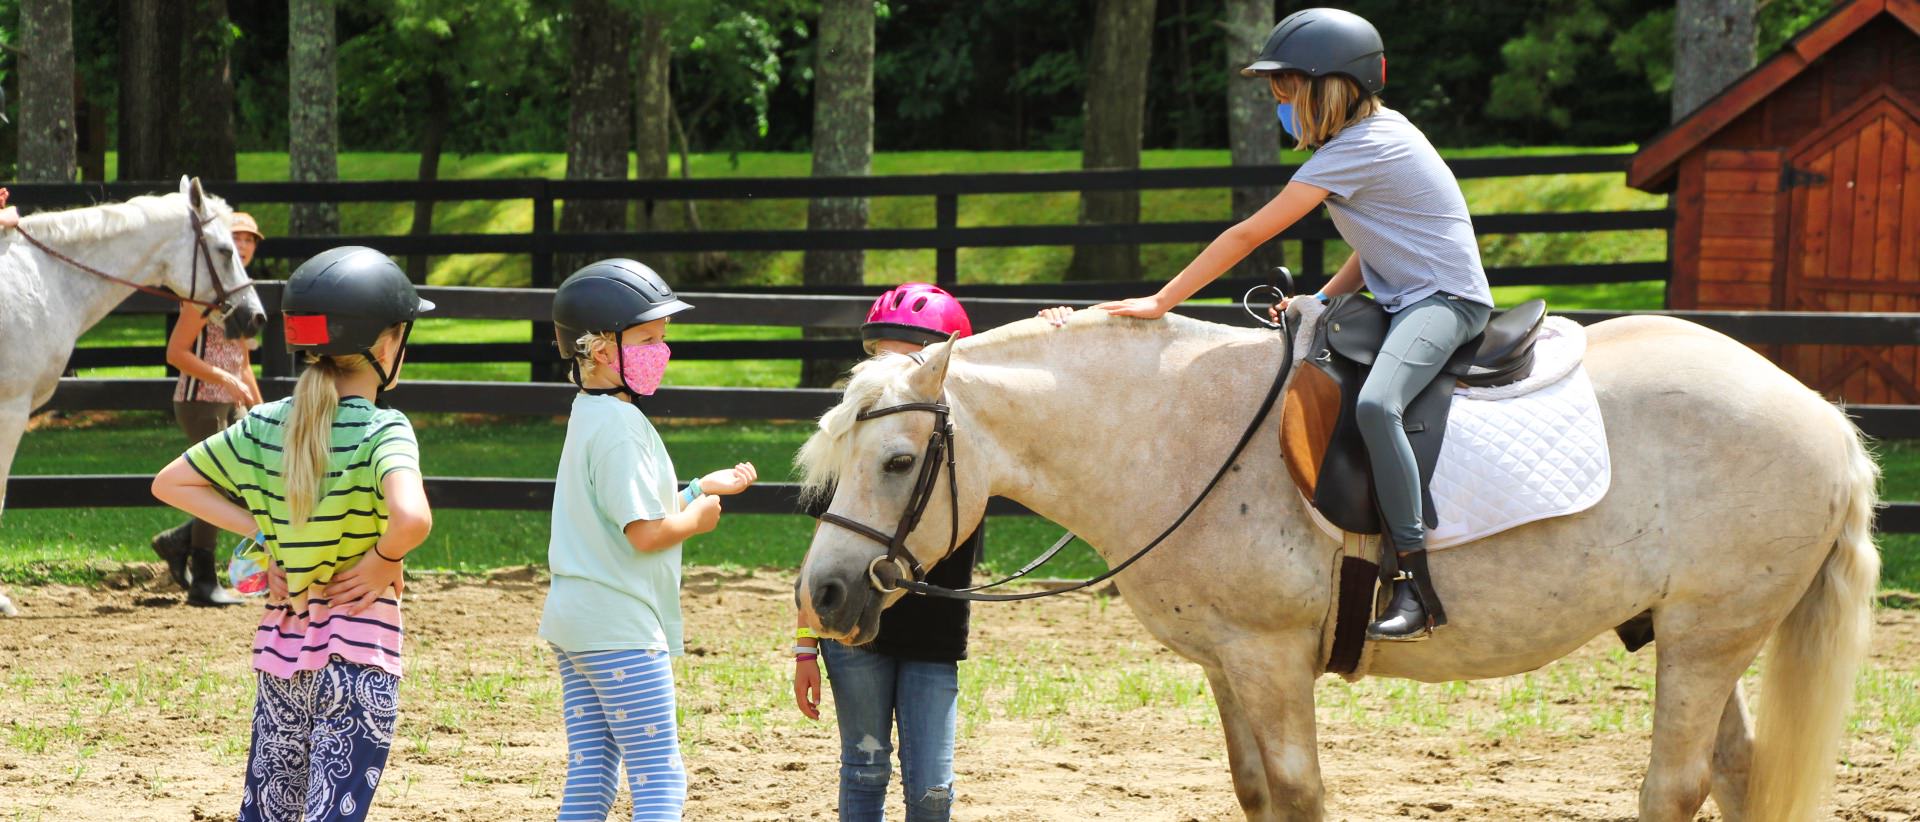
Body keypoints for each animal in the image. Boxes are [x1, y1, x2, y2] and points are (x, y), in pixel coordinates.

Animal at [791, 309, 1873, 822]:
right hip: (1700, 640)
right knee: (1736, 777)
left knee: (1675, 787)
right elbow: (1256, 790)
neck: (1175, 428)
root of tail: (1820, 416)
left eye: (898, 462)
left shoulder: (1271, 661)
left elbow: (1299, 790)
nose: (824, 593)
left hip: (1705, 638)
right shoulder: (1230, 665)